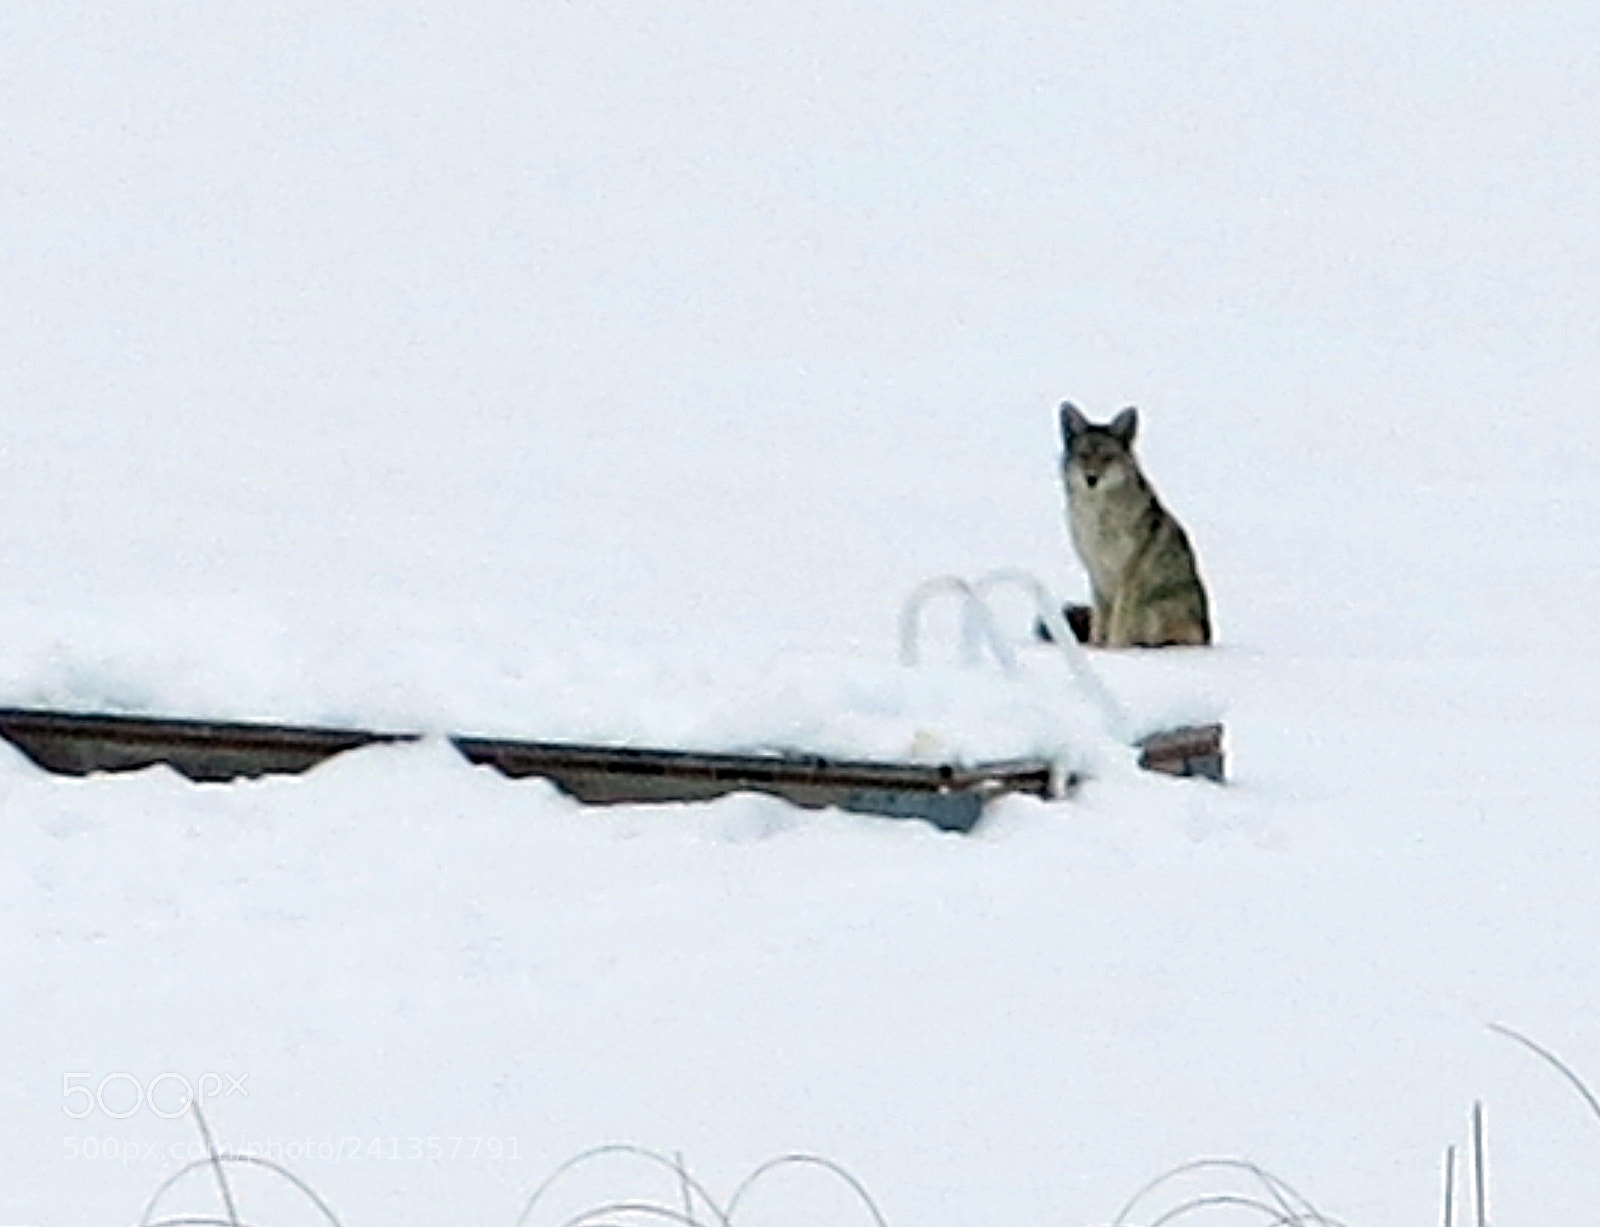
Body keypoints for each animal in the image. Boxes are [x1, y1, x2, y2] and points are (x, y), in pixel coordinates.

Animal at [1058, 403, 1212, 647]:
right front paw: (1095, 648)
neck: (1098, 517)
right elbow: (1098, 624)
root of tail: (1207, 638)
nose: (1091, 479)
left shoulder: (1128, 578)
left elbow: (1118, 624)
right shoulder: (1097, 576)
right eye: (1084, 455)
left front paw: (1114, 650)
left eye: (1107, 457)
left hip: (1156, 612)